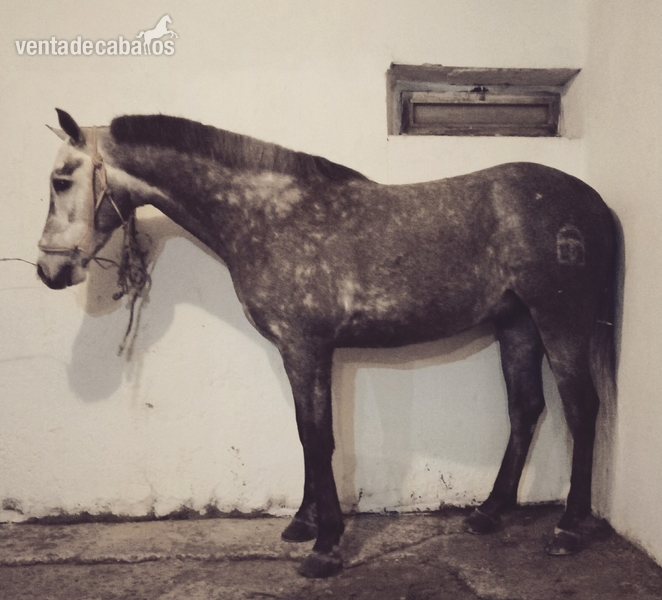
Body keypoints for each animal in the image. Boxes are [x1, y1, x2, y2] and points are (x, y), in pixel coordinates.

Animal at [37, 109, 617, 578]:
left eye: (61, 179)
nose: (49, 270)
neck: (266, 215)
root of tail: (592, 201)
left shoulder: (305, 347)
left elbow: (319, 437)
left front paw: (326, 547)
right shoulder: (302, 353)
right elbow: (304, 432)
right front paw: (304, 523)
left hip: (558, 320)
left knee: (580, 408)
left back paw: (569, 529)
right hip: (517, 323)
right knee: (526, 408)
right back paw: (489, 514)